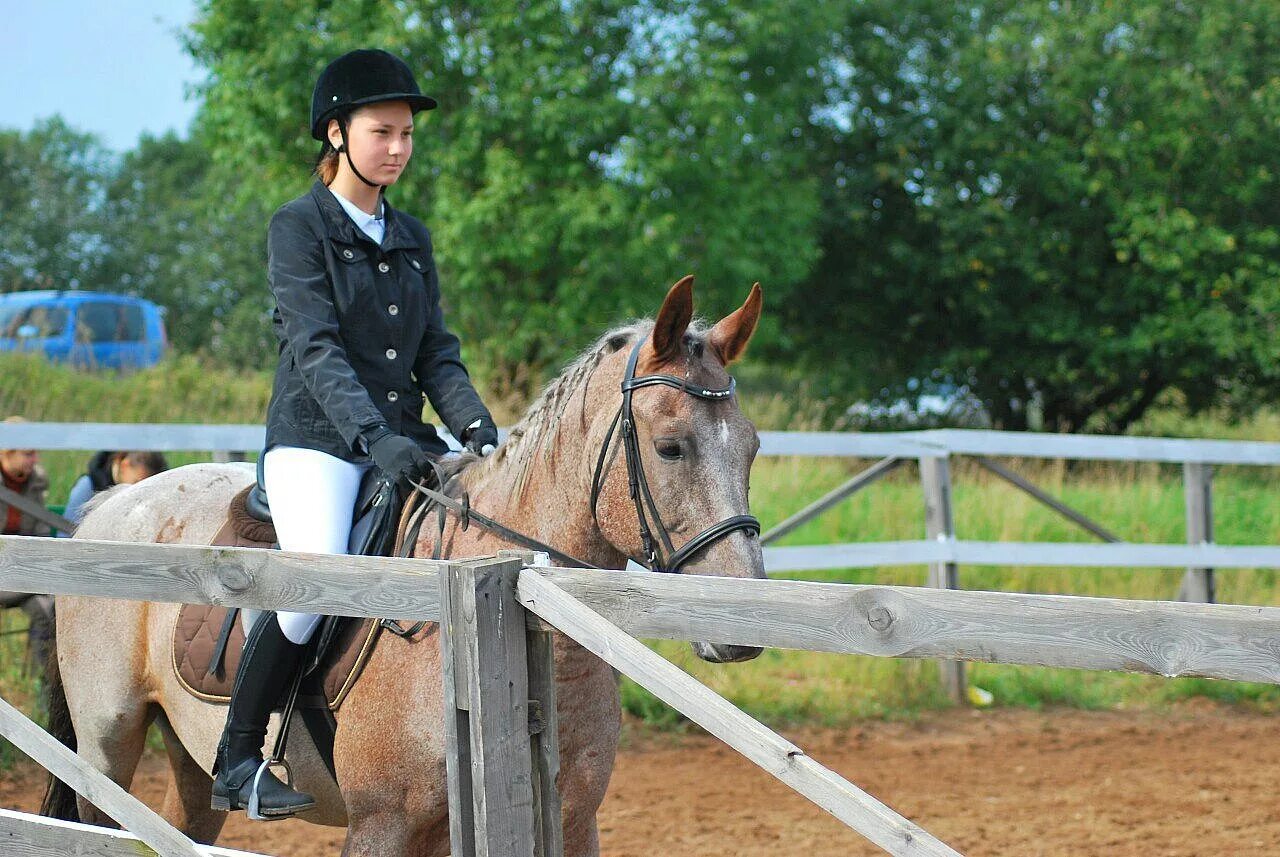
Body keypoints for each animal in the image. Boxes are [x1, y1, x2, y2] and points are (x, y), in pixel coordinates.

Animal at [45, 278, 762, 854]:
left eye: (753, 447)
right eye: (669, 447)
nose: (738, 629)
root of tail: (114, 503)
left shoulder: (573, 818)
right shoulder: (382, 827)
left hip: (186, 763)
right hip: (107, 746)